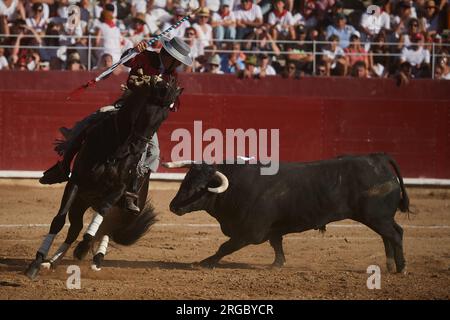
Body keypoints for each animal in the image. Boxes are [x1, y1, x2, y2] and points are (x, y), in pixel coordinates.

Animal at [25, 74, 181, 278]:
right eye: (144, 112)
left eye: (163, 118)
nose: (138, 148)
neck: (116, 149)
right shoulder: (75, 183)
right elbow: (58, 220)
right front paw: (36, 262)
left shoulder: (117, 190)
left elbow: (100, 215)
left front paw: (83, 248)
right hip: (81, 201)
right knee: (75, 229)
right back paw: (52, 261)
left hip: (122, 209)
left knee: (106, 228)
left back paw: (95, 258)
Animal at [164, 152, 408, 272]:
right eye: (185, 181)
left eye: (200, 187)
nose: (173, 206)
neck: (235, 187)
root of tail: (377, 158)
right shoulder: (272, 230)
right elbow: (277, 244)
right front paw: (277, 264)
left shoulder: (250, 233)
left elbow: (225, 247)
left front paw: (204, 262)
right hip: (380, 218)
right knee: (389, 235)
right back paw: (389, 265)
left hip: (376, 217)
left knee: (395, 235)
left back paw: (401, 268)